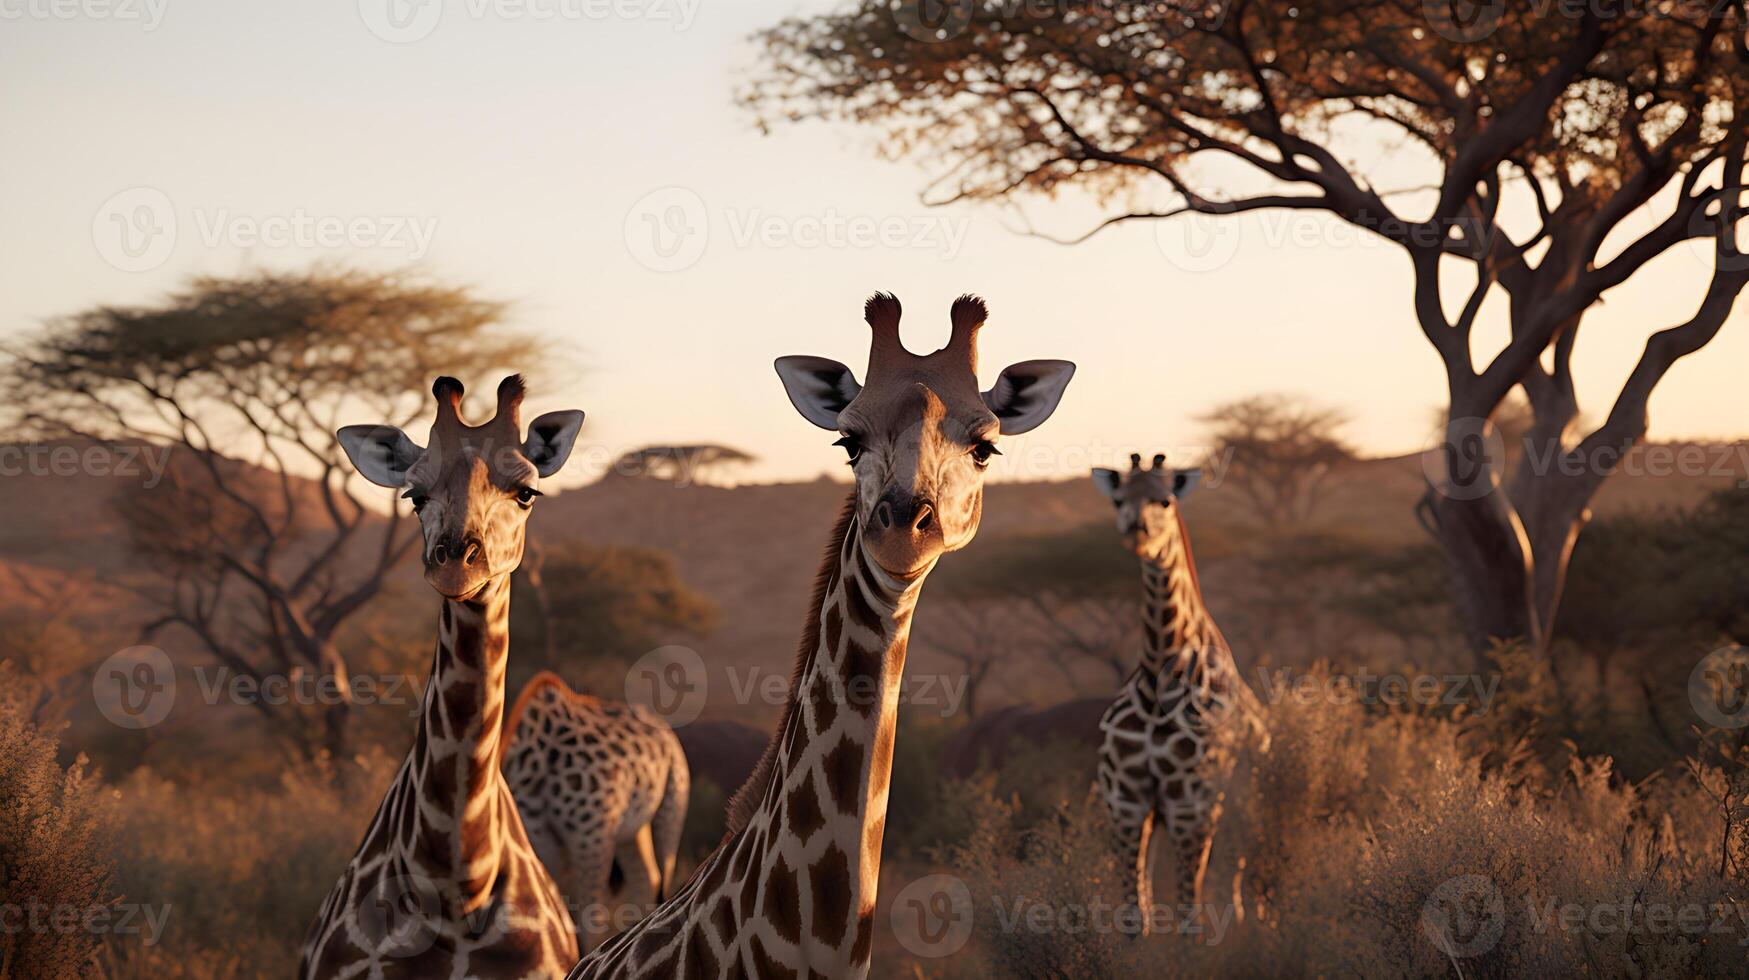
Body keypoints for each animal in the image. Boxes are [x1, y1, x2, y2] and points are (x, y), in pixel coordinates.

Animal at [500, 668, 689, 952]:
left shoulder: (590, 839)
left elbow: (588, 924)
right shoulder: (540, 841)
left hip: (671, 805)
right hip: (632, 831)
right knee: (646, 878)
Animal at [1084, 455, 1266, 945]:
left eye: (1164, 500)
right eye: (1119, 499)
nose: (1138, 531)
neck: (1157, 676)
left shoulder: (1191, 803)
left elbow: (1188, 919)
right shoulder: (1126, 800)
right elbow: (1135, 920)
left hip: (1239, 804)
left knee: (1237, 881)